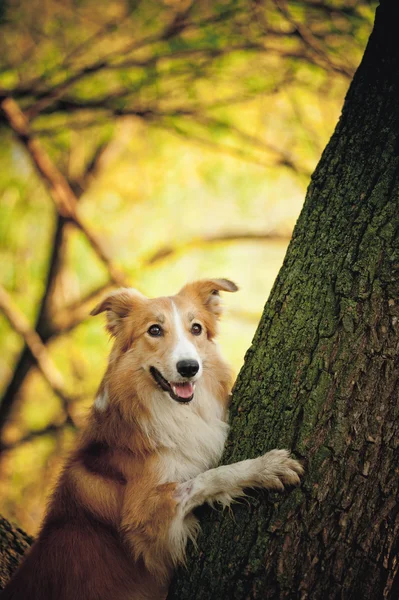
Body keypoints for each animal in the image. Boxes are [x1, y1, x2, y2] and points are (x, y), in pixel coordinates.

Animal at [2, 282, 304, 600]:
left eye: (196, 328)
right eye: (155, 330)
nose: (189, 367)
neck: (174, 410)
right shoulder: (147, 525)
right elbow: (207, 478)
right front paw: (266, 467)